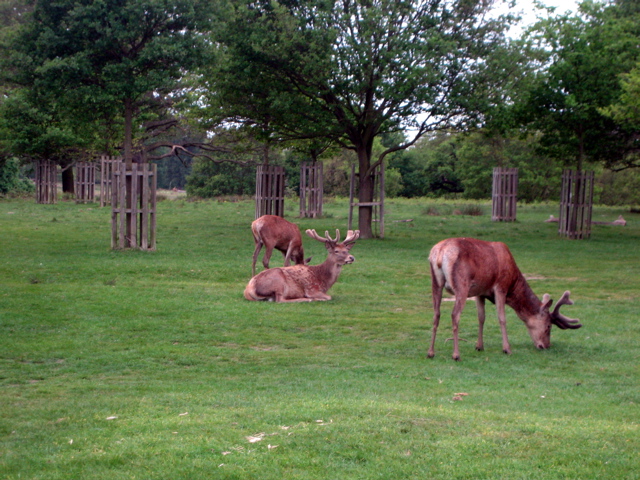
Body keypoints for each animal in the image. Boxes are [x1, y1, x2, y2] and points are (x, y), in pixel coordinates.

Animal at [428, 237, 582, 361]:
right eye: (548, 326)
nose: (546, 345)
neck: (513, 281)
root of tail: (440, 252)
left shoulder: (480, 292)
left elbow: (481, 317)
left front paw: (479, 346)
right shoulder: (501, 286)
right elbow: (502, 318)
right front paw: (507, 348)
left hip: (436, 282)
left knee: (436, 314)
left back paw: (430, 352)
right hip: (462, 284)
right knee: (455, 315)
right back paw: (456, 355)